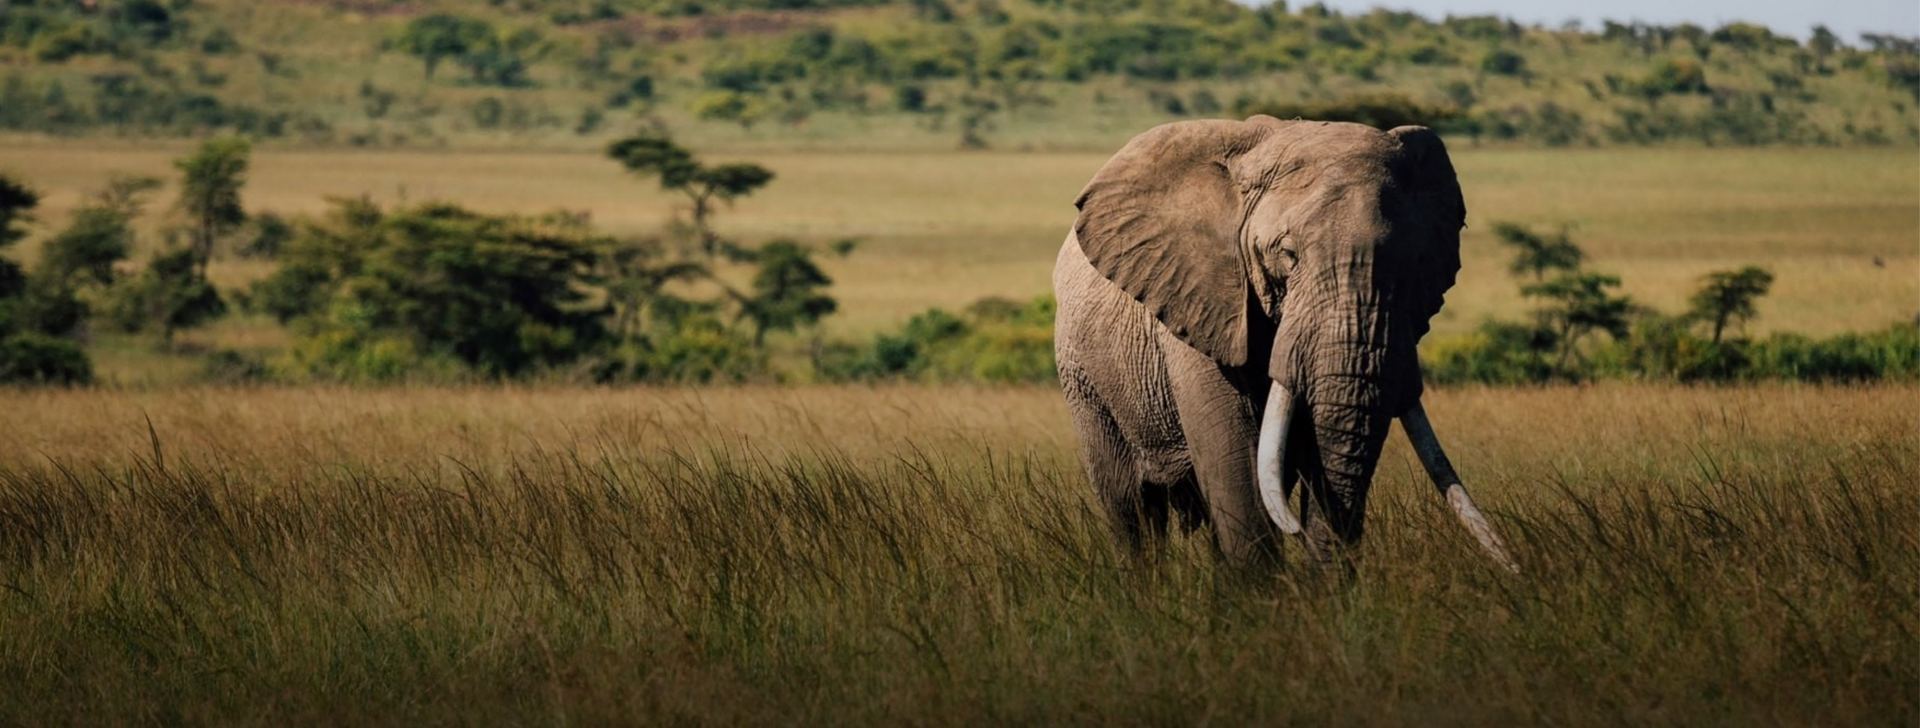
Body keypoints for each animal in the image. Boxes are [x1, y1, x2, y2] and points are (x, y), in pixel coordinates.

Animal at [1053, 115, 1516, 571]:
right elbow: (1237, 464)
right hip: (1084, 378)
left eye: (1414, 261)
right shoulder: (1201, 307)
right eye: (1288, 255)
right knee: (1132, 509)